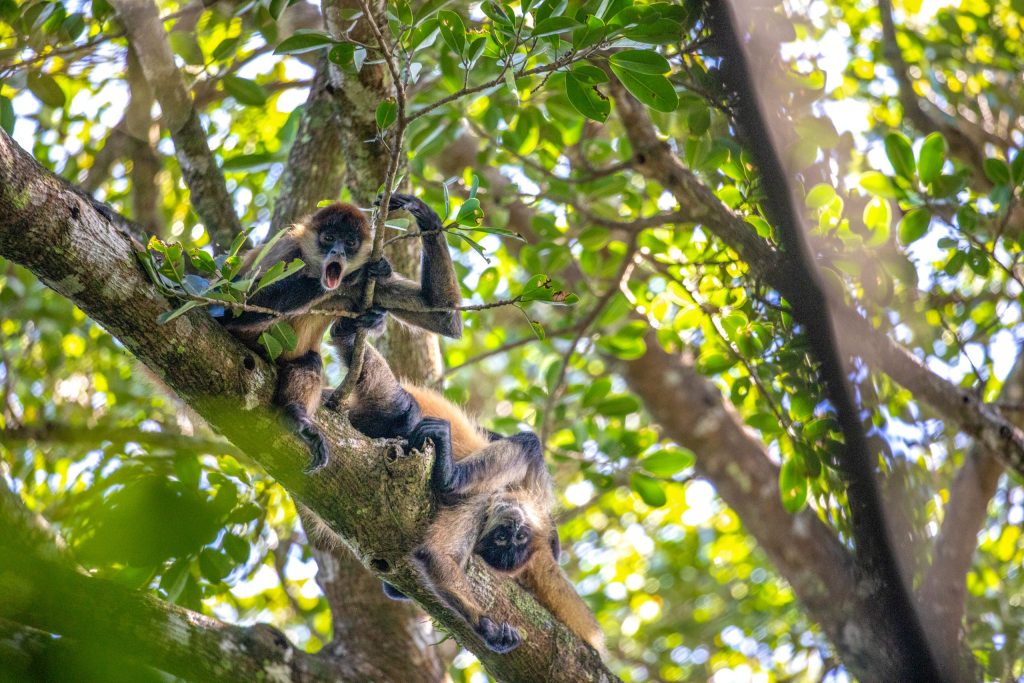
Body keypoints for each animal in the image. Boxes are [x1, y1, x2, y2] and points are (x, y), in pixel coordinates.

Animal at [219, 194, 462, 471]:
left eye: (350, 242)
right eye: (329, 238)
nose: (338, 252)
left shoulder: (372, 284)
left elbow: (442, 315)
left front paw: (423, 212)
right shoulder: (287, 248)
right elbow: (234, 305)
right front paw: (355, 274)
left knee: (310, 361)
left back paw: (295, 415)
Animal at [324, 316, 604, 654]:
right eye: (506, 536)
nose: (513, 526)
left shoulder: (477, 505)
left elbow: (434, 555)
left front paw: (488, 629)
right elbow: (526, 448)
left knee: (400, 410)